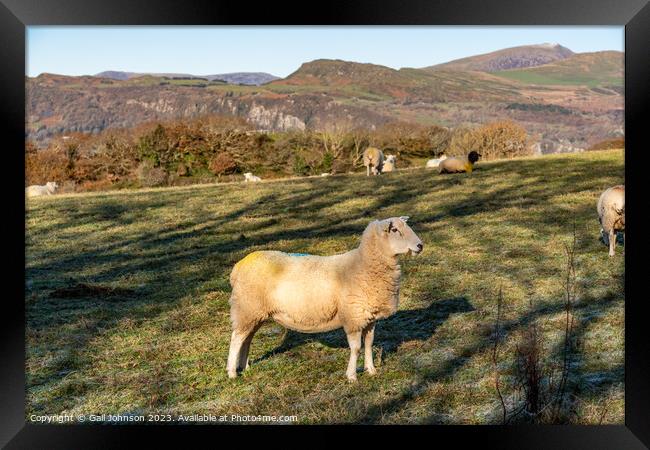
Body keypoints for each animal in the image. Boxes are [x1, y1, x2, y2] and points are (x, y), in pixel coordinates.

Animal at [225, 216, 422, 382]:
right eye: (395, 230)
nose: (420, 245)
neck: (363, 265)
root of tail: (238, 267)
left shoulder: (369, 317)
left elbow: (368, 344)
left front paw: (371, 370)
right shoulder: (353, 316)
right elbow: (356, 348)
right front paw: (352, 376)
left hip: (254, 313)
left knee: (247, 339)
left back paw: (245, 367)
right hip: (246, 308)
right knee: (236, 339)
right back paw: (232, 373)